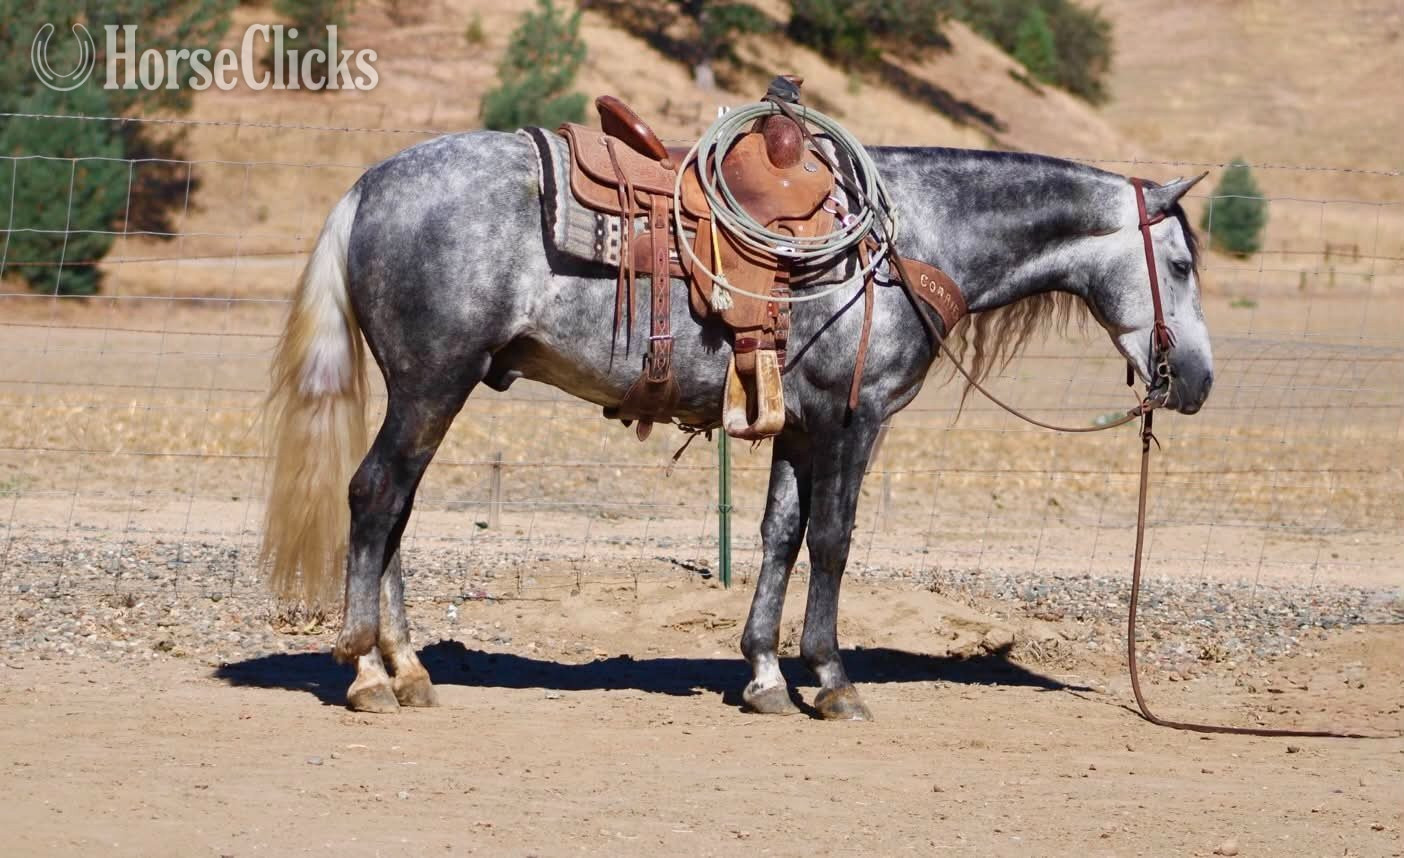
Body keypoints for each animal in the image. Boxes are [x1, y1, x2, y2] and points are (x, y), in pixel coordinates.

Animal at [259, 130, 1212, 718]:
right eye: (1179, 263)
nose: (1197, 381)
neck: (906, 243)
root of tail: (367, 186)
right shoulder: (855, 421)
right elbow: (833, 541)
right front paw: (832, 680)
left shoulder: (801, 426)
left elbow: (778, 537)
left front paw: (763, 675)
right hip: (433, 383)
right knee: (375, 496)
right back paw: (367, 673)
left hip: (429, 391)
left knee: (396, 507)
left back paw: (409, 670)